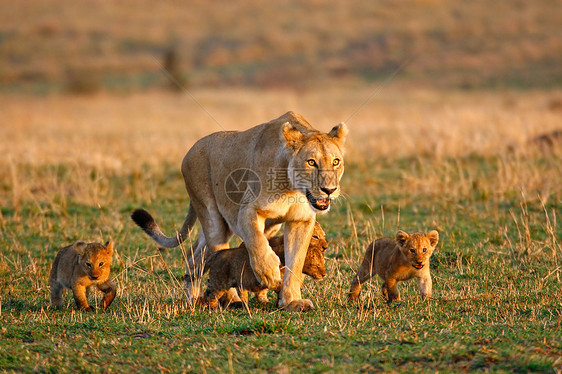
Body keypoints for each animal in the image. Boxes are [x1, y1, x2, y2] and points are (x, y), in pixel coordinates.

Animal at [132, 111, 346, 310]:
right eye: (311, 162)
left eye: (336, 162)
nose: (329, 190)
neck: (292, 188)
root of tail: (190, 151)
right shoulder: (246, 212)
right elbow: (257, 242)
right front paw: (269, 273)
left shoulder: (301, 221)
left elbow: (296, 262)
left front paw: (291, 301)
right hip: (213, 219)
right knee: (219, 256)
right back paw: (232, 299)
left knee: (195, 258)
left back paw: (193, 299)